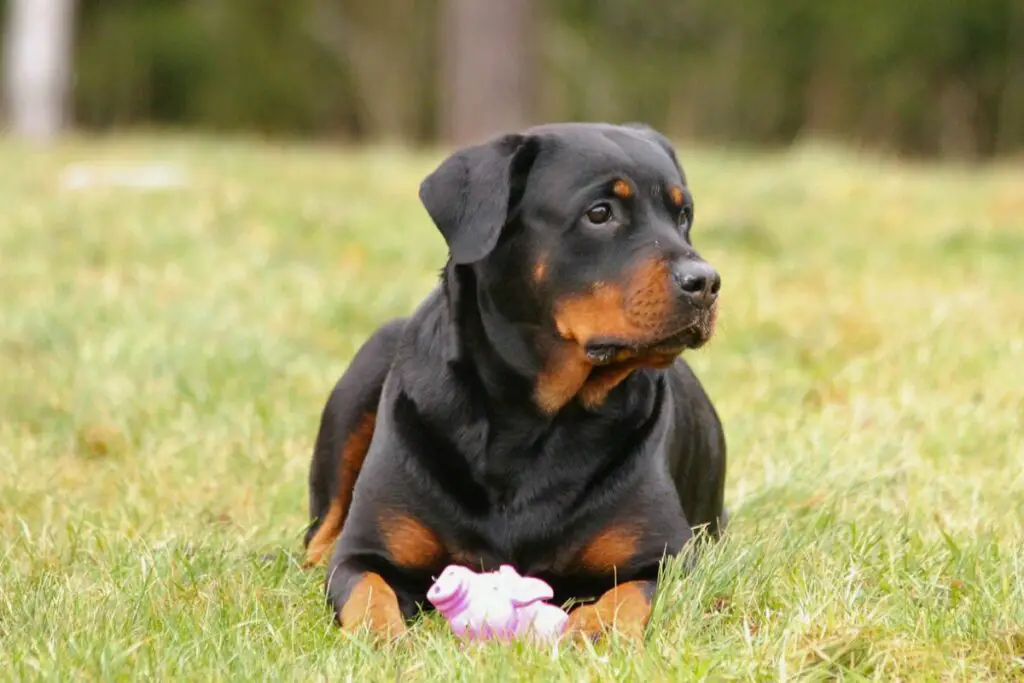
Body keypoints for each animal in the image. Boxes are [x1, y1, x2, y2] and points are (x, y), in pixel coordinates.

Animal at [299, 121, 724, 643]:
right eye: (599, 213)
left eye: (682, 216)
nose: (705, 282)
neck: (530, 418)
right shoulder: (364, 553)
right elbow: (368, 590)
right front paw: (384, 638)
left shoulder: (667, 558)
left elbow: (626, 597)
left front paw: (588, 630)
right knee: (320, 535)